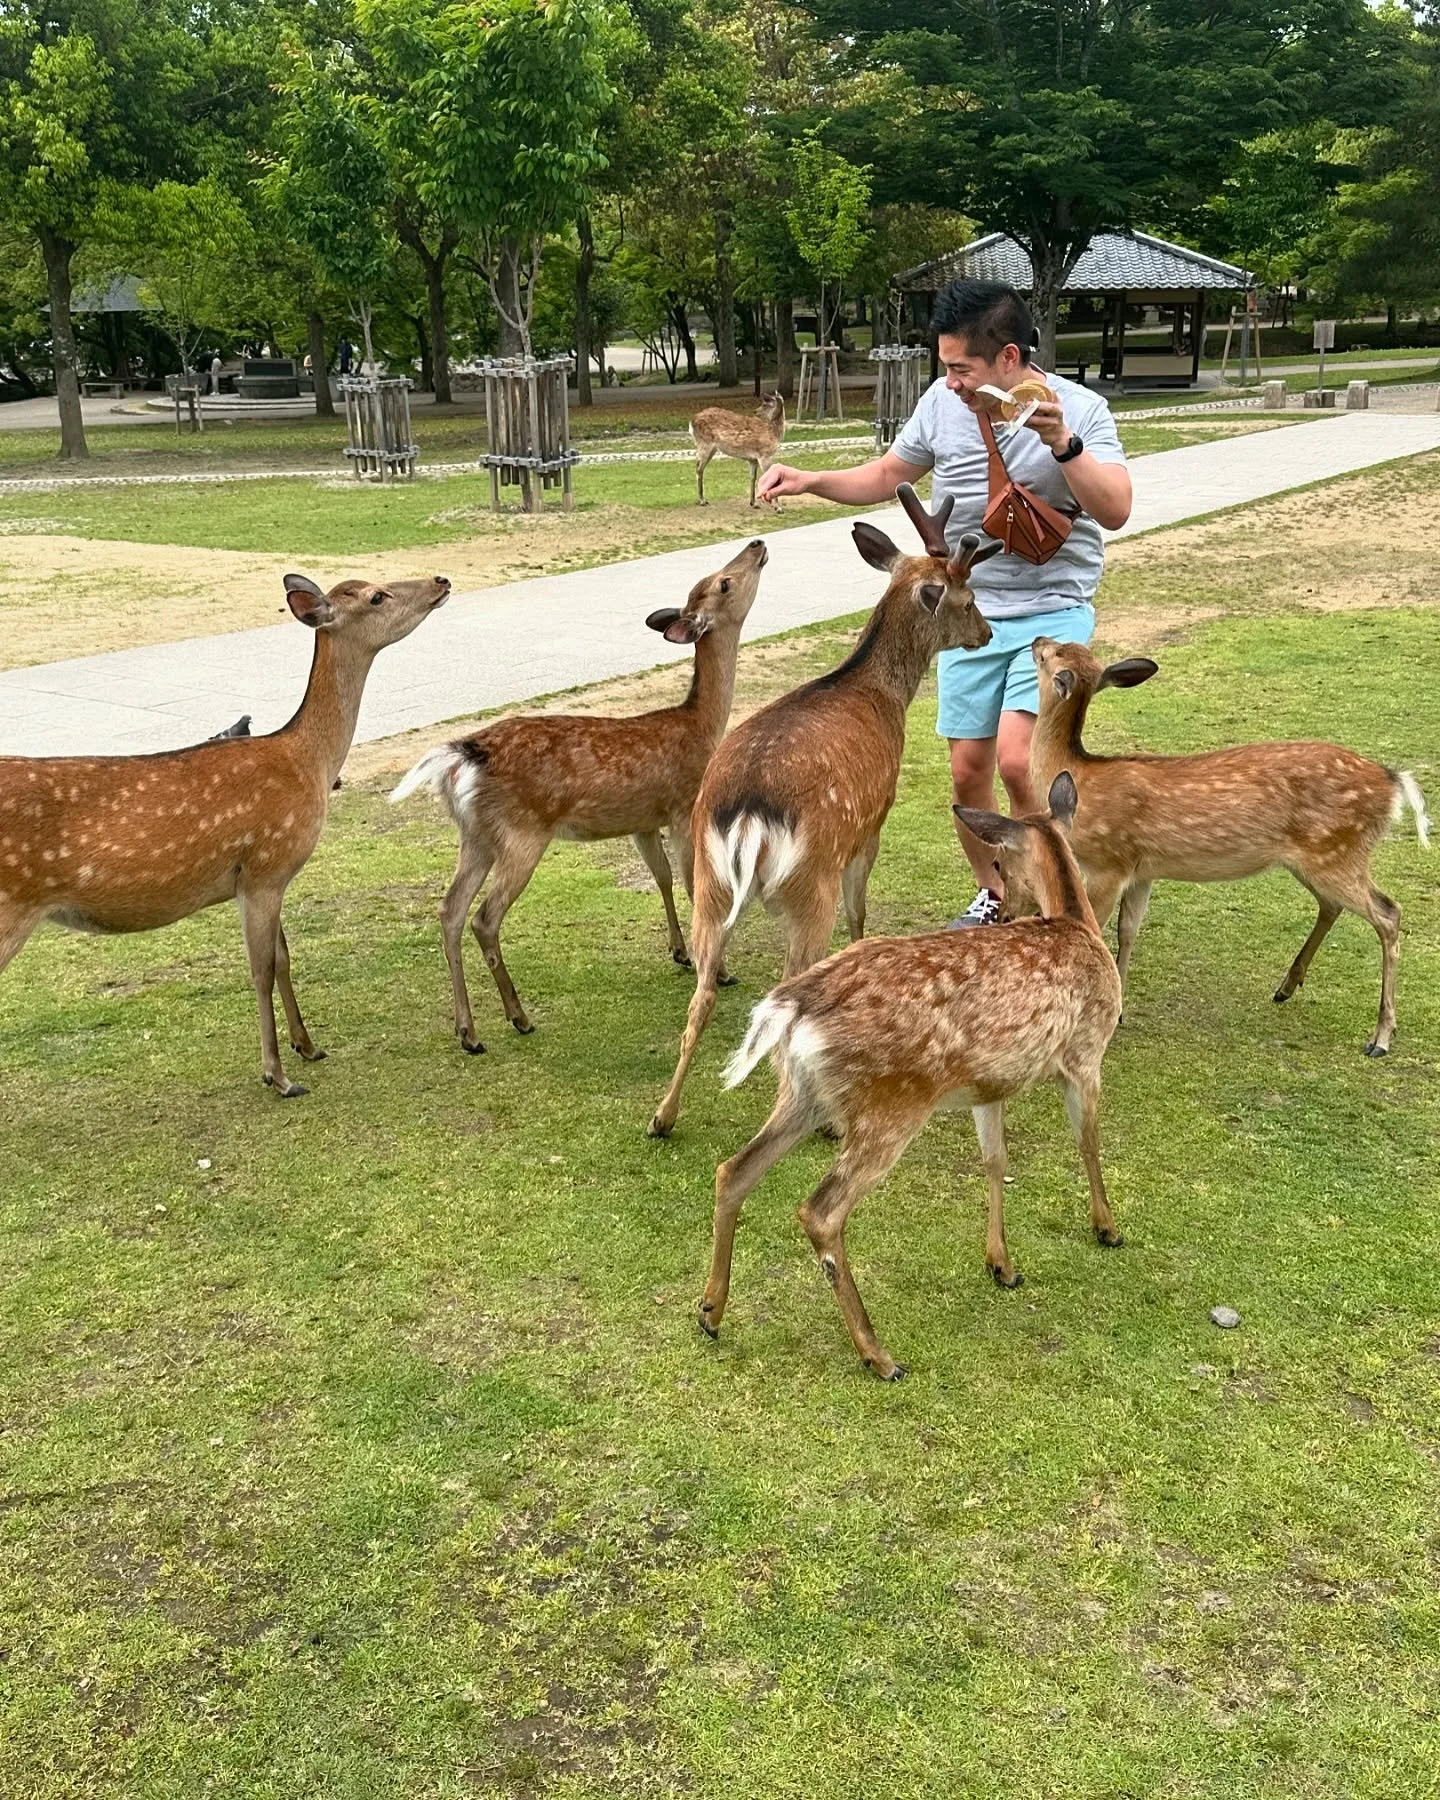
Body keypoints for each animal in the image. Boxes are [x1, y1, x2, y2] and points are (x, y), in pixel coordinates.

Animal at [0, 571, 451, 1097]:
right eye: (377, 595)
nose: (440, 579)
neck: (309, 763)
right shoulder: (265, 867)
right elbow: (261, 969)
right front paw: (278, 1075)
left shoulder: (263, 878)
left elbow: (283, 958)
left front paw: (308, 1046)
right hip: (10, 907)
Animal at [388, 540, 769, 1053]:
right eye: (724, 582)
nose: (757, 544)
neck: (700, 727)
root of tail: (463, 756)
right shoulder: (682, 806)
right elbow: (694, 884)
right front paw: (721, 971)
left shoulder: (642, 821)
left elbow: (662, 877)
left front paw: (679, 952)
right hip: (522, 832)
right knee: (483, 917)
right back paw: (518, 1016)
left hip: (476, 834)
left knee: (449, 910)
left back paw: (467, 1031)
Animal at [647, 484, 997, 1139]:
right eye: (967, 597)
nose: (988, 632)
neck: (884, 695)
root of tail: (749, 814)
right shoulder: (872, 821)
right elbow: (860, 914)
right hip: (812, 880)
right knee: (786, 986)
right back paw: (821, 1119)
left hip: (709, 883)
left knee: (702, 992)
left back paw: (662, 1116)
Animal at [705, 772, 1124, 1380]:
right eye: (998, 864)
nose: (1004, 910)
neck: (1077, 922)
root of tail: (790, 1007)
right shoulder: (1086, 1052)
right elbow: (1089, 1142)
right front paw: (1107, 1227)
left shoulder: (990, 1084)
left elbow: (995, 1160)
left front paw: (1002, 1265)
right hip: (891, 1103)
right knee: (821, 1210)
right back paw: (878, 1354)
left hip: (805, 1093)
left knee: (733, 1170)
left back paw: (710, 1311)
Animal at [1027, 637, 1431, 1057]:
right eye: (1063, 646)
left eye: (1051, 653)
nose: (1036, 640)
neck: (1079, 777)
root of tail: (1393, 783)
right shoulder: (1141, 869)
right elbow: (1128, 930)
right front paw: (1120, 1011)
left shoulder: (1107, 861)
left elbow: (1097, 928)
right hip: (1318, 857)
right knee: (1334, 905)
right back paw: (1286, 988)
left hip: (1338, 851)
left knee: (1388, 912)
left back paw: (1380, 1037)